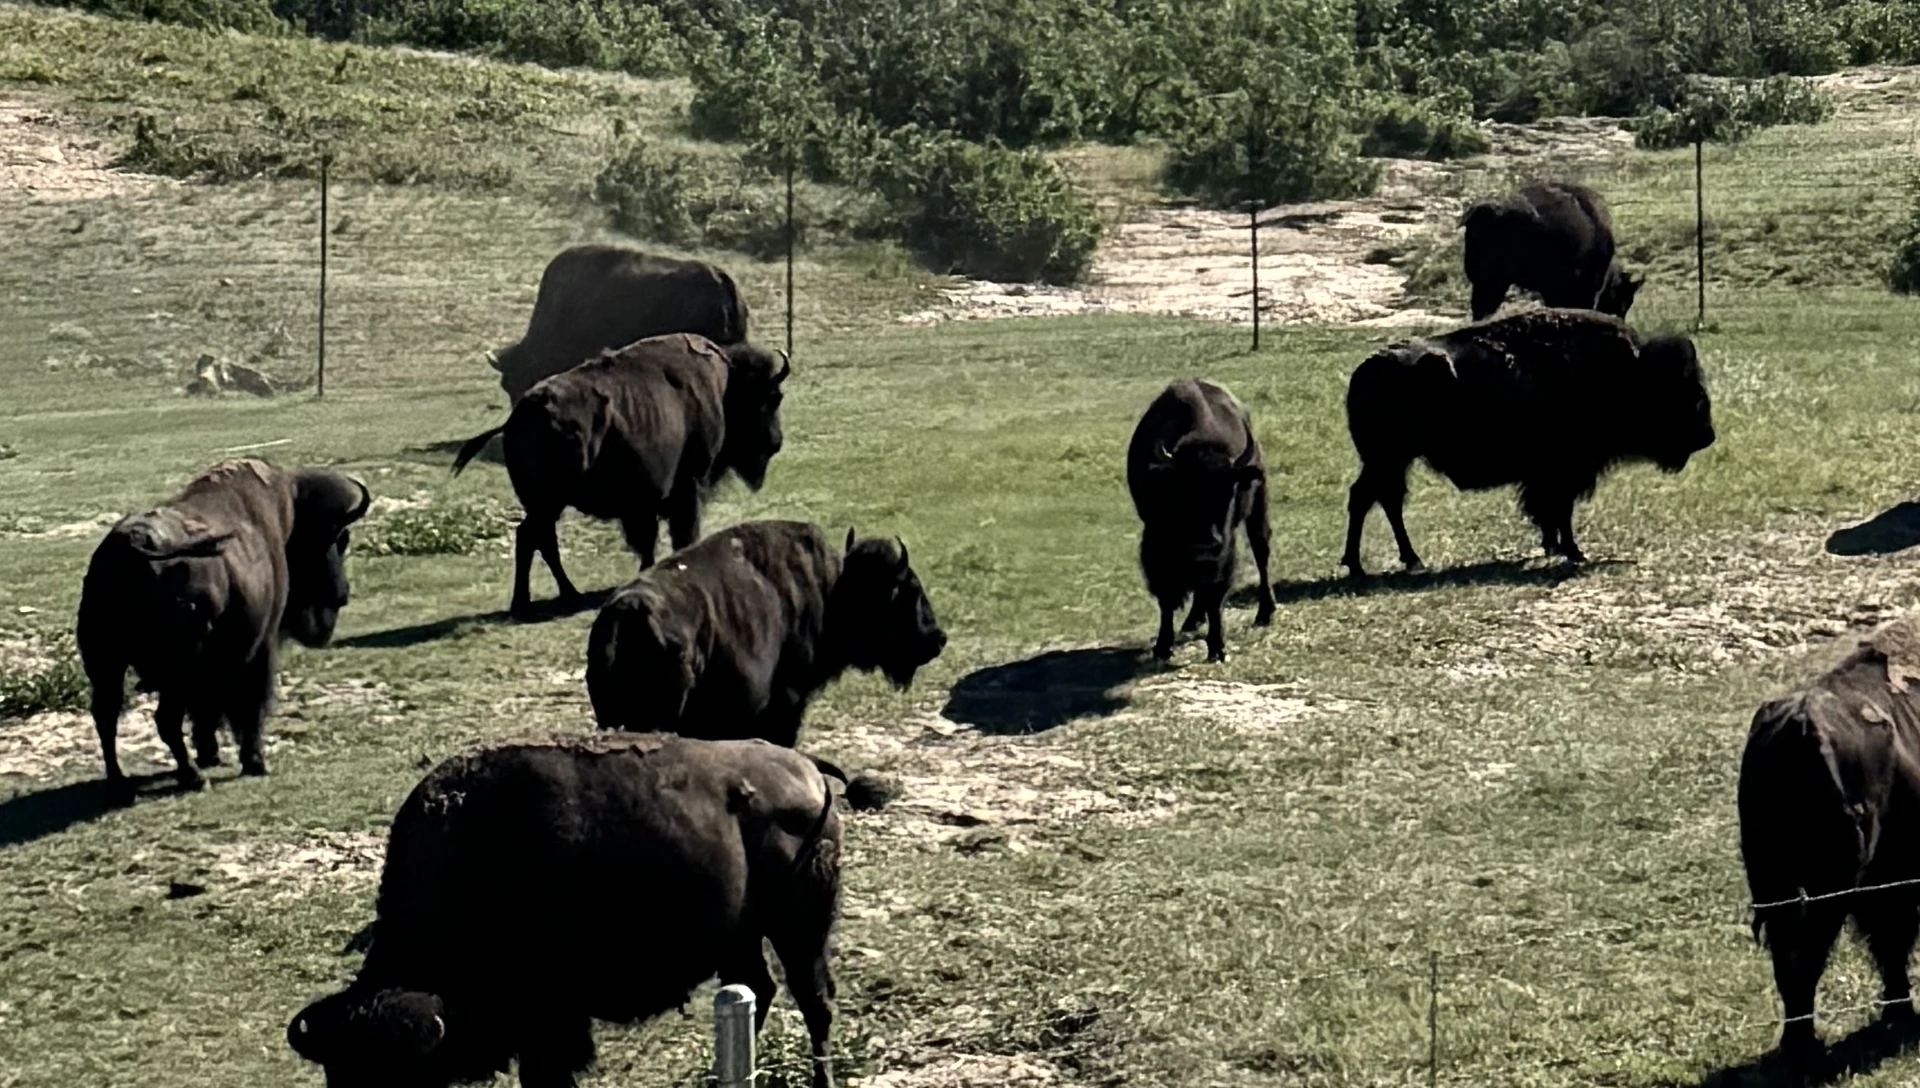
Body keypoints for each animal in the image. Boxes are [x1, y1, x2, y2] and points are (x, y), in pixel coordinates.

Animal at [75, 459, 370, 803]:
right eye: (339, 538)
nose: (343, 594)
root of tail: (132, 546)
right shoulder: (261, 647)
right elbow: (251, 705)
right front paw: (255, 762)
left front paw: (212, 754)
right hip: (174, 672)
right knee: (165, 719)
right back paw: (193, 778)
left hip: (106, 665)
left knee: (107, 717)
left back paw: (121, 785)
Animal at [287, 733, 845, 1088]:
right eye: (338, 1074)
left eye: (399, 1077)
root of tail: (809, 769)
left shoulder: (549, 1022)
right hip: (739, 939)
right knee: (761, 989)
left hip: (799, 930)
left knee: (815, 1002)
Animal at [452, 333, 790, 618]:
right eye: (772, 397)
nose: (777, 442)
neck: (725, 386)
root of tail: (516, 420)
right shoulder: (688, 487)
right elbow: (680, 534)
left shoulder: (648, 503)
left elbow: (649, 539)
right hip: (548, 503)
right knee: (533, 539)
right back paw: (537, 602)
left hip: (543, 505)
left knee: (538, 539)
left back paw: (559, 596)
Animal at [1126, 379, 1277, 663]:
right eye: (1182, 492)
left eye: (1229, 490)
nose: (1205, 543)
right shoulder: (1155, 542)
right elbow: (1167, 596)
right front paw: (1163, 647)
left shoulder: (1224, 550)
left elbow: (1214, 595)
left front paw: (1217, 647)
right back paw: (1192, 620)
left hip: (1258, 506)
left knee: (1261, 553)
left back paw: (1265, 613)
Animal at [1339, 308, 1714, 576]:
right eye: (1685, 392)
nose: (1707, 436)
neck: (1628, 373)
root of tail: (1363, 372)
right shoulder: (1565, 472)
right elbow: (1559, 510)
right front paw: (1573, 551)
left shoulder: (1551, 475)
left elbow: (1551, 512)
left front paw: (1554, 547)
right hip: (1388, 459)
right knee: (1371, 499)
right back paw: (1373, 565)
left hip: (1389, 461)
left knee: (1379, 499)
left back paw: (1394, 561)